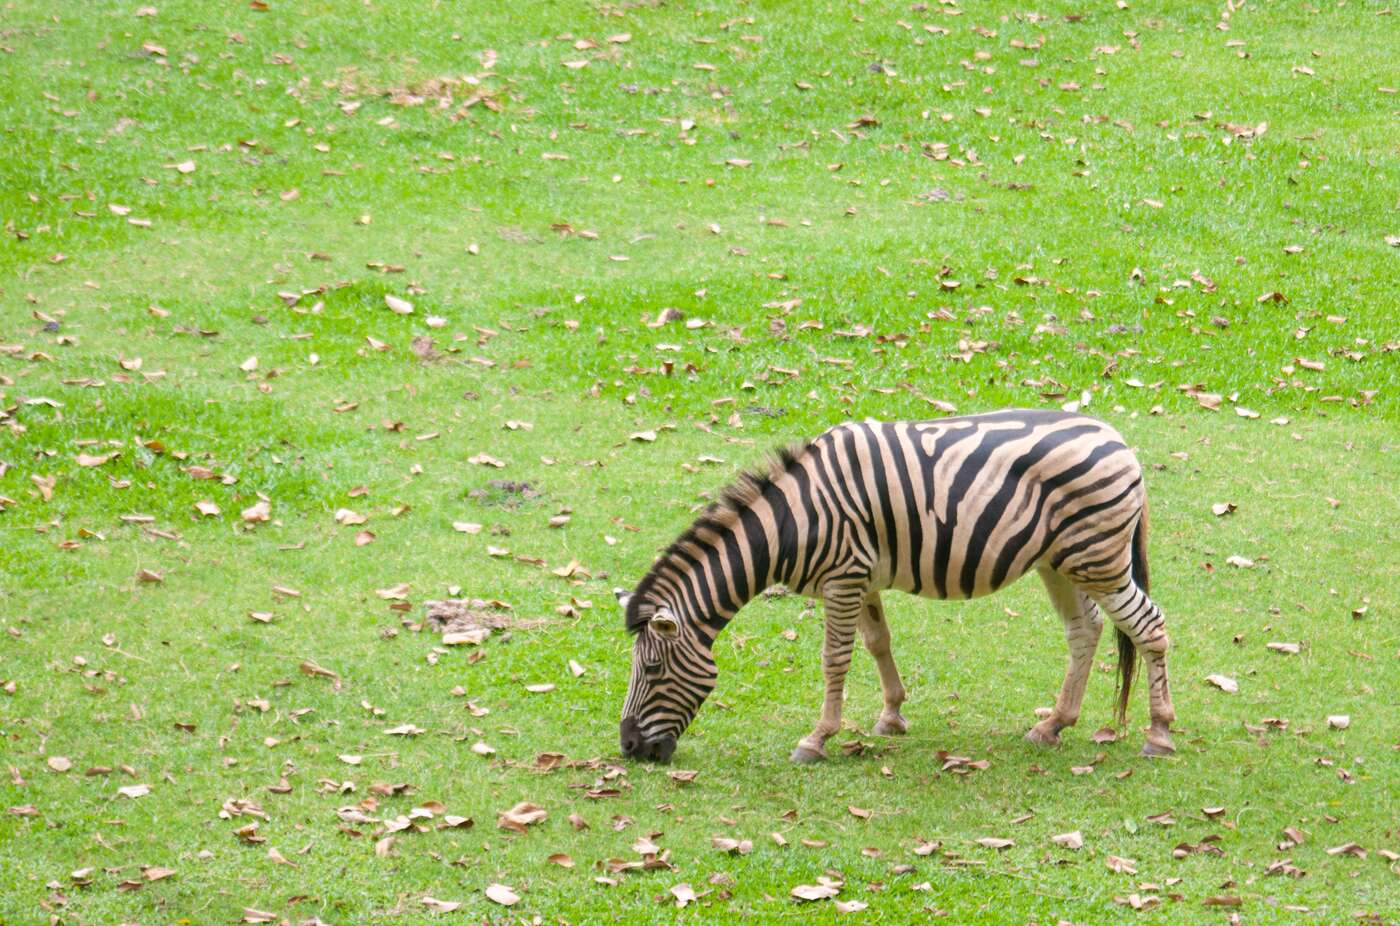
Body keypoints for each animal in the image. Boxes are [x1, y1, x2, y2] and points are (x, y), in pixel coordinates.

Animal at [616, 409, 1176, 764]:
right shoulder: (860, 578)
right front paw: (891, 715)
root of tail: (1120, 441)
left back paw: (1160, 733)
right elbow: (877, 643)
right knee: (1086, 630)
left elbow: (835, 659)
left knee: (1149, 626)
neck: (791, 522)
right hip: (1060, 563)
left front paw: (817, 739)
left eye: (651, 668)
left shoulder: (843, 577)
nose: (628, 749)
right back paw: (1054, 724)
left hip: (1098, 559)